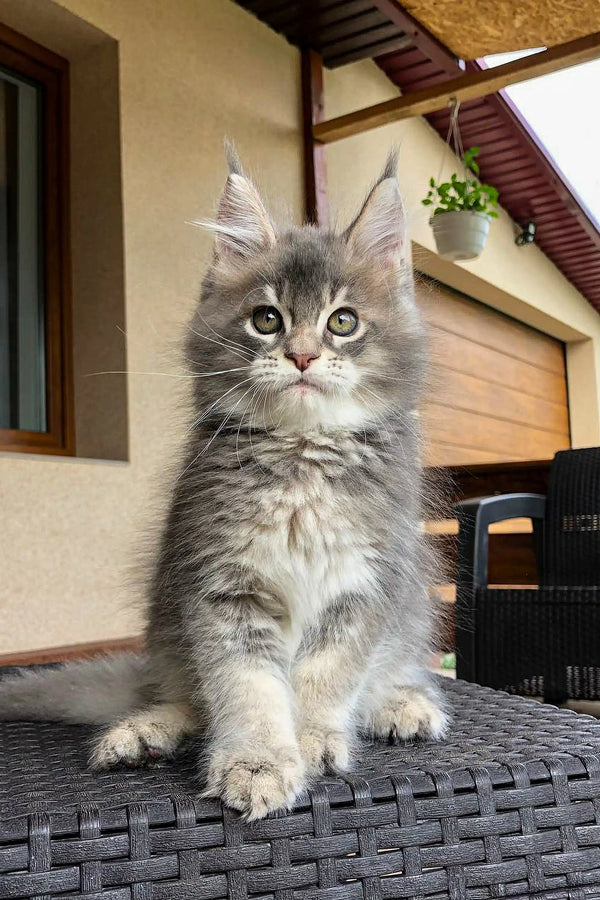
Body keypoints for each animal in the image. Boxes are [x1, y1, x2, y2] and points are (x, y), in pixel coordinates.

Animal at [0, 149, 450, 824]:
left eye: (342, 321)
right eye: (267, 320)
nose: (302, 356)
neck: (300, 460)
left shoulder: (365, 586)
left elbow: (326, 677)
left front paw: (312, 741)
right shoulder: (222, 587)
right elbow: (248, 690)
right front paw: (258, 763)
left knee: (385, 673)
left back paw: (401, 706)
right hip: (170, 631)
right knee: (190, 698)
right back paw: (145, 732)